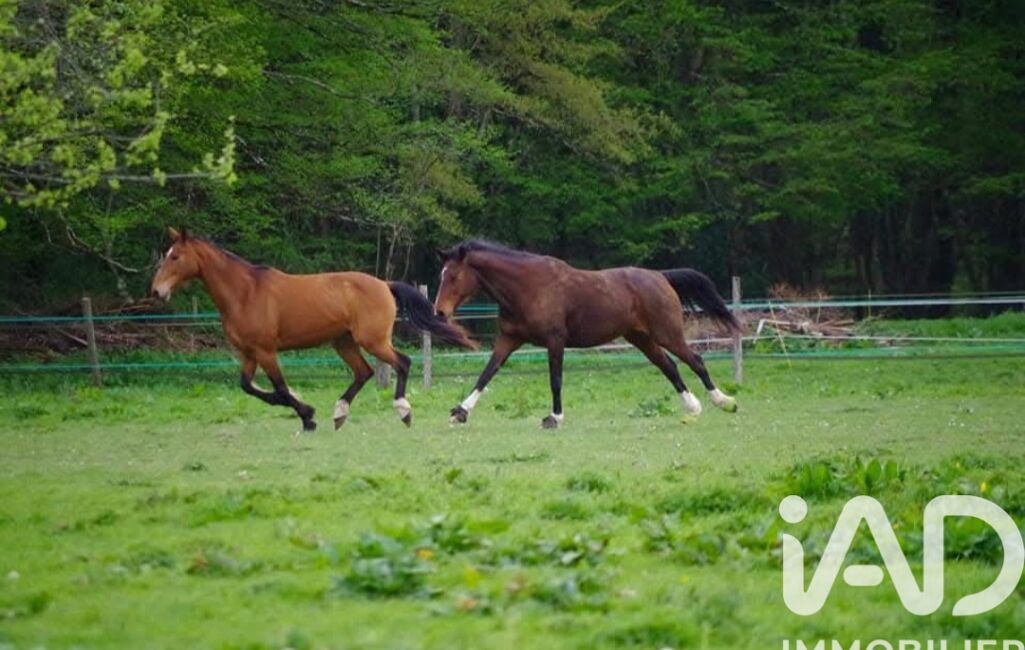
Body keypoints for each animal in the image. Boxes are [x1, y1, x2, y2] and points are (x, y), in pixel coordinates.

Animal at [150, 228, 478, 432]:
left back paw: (403, 410)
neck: (245, 293)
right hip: (343, 342)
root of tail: (383, 284)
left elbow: (280, 388)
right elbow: (250, 387)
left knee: (402, 362)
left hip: (372, 340)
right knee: (364, 372)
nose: (156, 291)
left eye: (175, 256)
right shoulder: (248, 353)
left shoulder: (265, 351)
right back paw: (340, 413)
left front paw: (307, 417)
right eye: (166, 254)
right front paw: (305, 410)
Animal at [433, 240, 741, 428]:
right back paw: (693, 406)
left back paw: (723, 401)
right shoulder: (508, 340)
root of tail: (660, 276)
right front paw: (460, 412)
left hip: (667, 333)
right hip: (642, 338)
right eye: (441, 275)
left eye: (454, 277)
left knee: (695, 360)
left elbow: (555, 380)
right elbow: (487, 373)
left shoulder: (555, 341)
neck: (527, 288)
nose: (439, 313)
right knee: (669, 366)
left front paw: (554, 417)